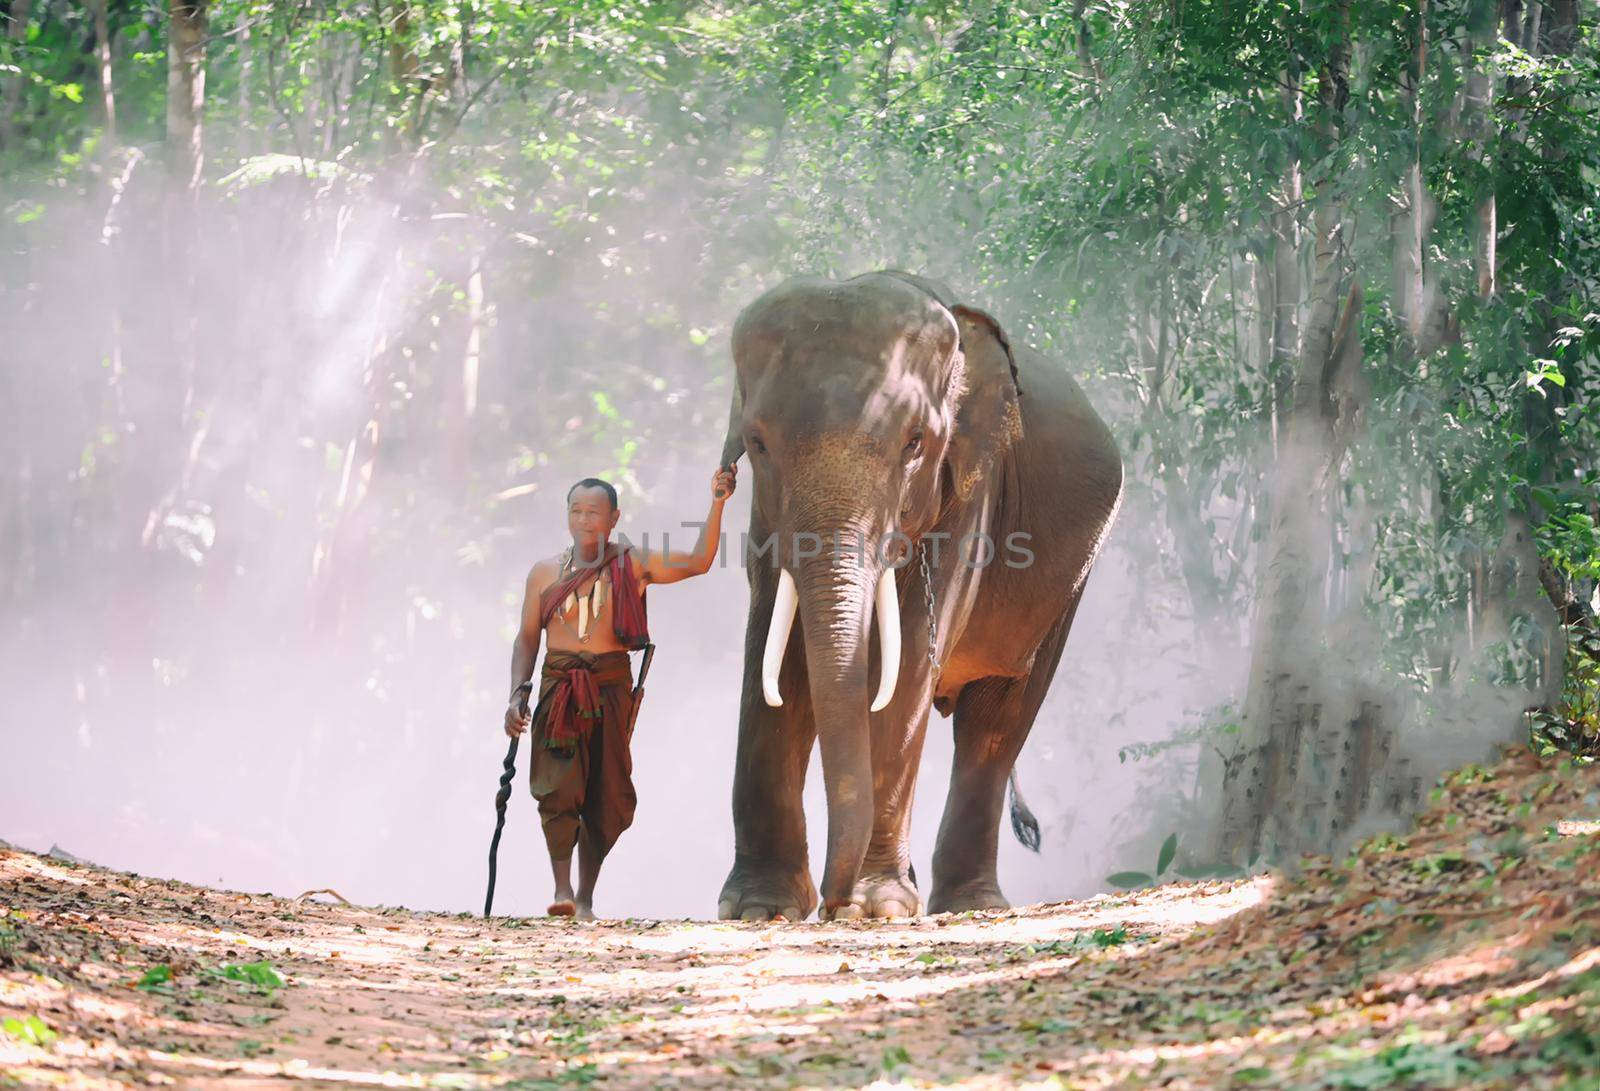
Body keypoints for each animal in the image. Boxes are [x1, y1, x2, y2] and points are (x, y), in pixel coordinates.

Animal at [720, 271, 1120, 915]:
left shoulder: (973, 495)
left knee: (995, 726)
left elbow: (905, 660)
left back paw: (971, 905)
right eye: (757, 443)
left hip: (1069, 586)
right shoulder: (766, 517)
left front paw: (875, 906)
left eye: (915, 443)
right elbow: (775, 658)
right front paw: (760, 909)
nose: (831, 903)